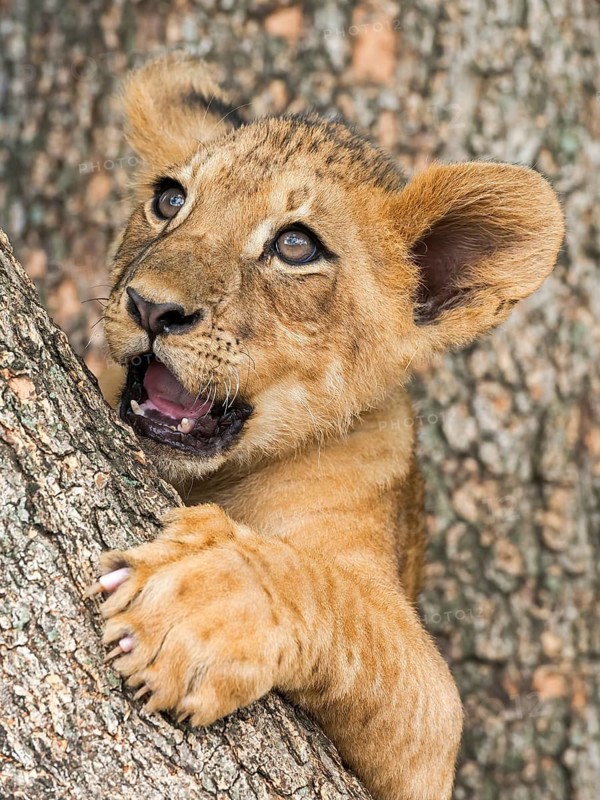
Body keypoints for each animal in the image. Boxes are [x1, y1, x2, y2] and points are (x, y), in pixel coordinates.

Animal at [88, 53, 564, 800]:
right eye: (169, 200)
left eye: (294, 246)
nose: (151, 306)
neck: (209, 478)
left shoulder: (432, 744)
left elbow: (333, 600)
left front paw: (199, 606)